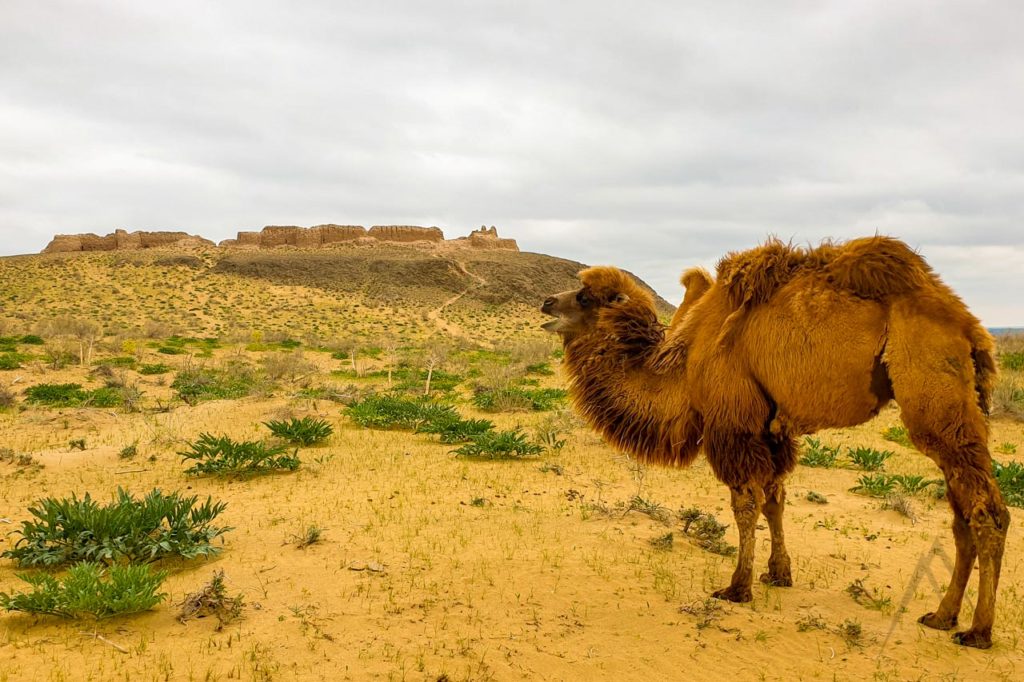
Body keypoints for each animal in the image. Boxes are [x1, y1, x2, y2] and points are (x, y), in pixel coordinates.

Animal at [540, 236, 1009, 649]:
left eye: (586, 296)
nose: (546, 303)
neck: (684, 366)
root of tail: (968, 326)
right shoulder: (770, 428)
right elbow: (774, 498)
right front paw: (778, 574)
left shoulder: (733, 424)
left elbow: (745, 504)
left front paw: (737, 587)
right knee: (962, 514)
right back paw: (941, 616)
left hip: (931, 393)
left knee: (989, 511)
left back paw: (978, 631)